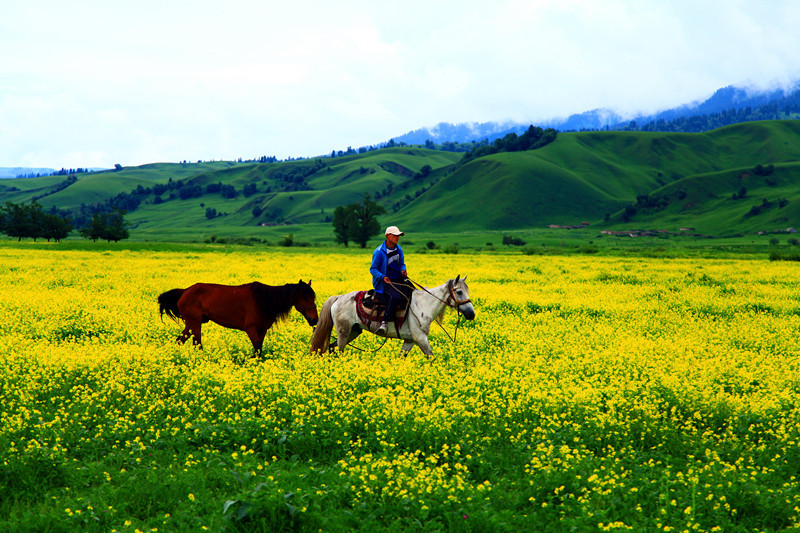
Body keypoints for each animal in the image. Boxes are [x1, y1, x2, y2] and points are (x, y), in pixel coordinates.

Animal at [158, 278, 318, 358]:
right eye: (305, 297)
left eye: (313, 296)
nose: (314, 320)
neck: (265, 301)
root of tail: (185, 291)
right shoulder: (251, 329)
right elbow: (258, 349)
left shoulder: (262, 330)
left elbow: (259, 350)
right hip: (196, 323)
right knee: (197, 344)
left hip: (191, 323)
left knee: (180, 340)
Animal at [310, 276, 476, 356]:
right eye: (459, 291)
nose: (471, 314)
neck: (424, 304)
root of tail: (338, 298)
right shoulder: (421, 339)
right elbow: (432, 358)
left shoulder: (409, 341)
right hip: (344, 332)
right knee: (338, 350)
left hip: (354, 331)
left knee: (332, 348)